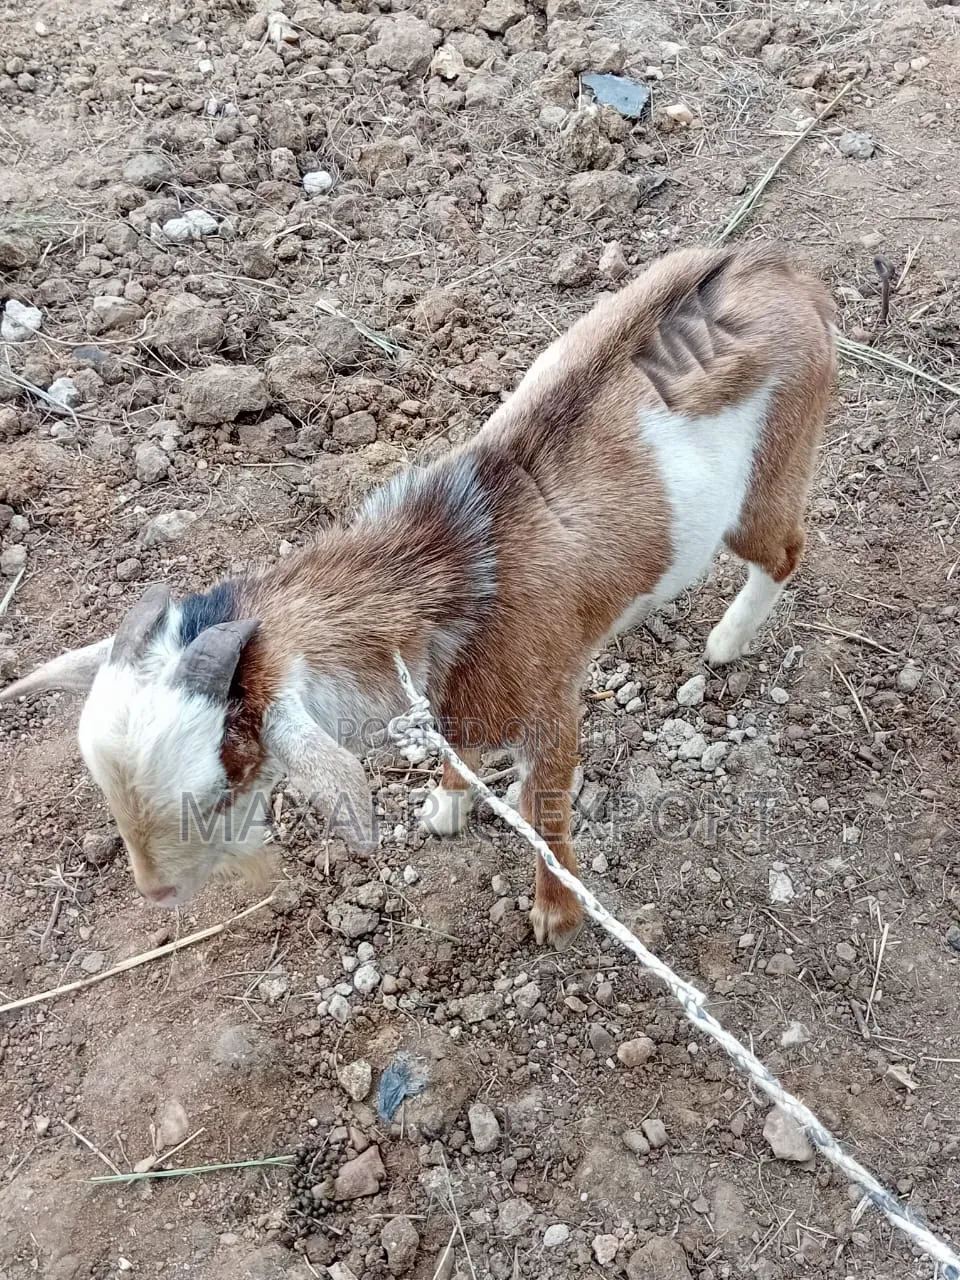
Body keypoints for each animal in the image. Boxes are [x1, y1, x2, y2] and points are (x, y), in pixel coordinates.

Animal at [0, 244, 836, 948]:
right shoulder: (453, 698)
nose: (158, 895)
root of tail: (783, 269)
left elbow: (546, 810)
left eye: (215, 794)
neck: (450, 569)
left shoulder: (552, 709)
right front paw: (445, 806)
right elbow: (461, 750)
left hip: (773, 468)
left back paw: (726, 642)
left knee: (787, 549)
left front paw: (556, 916)